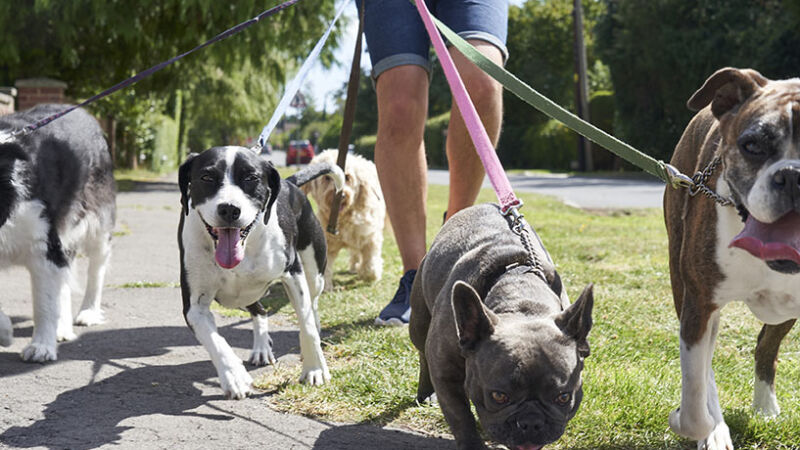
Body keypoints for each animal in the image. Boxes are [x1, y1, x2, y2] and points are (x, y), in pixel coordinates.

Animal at [0, 103, 117, 360]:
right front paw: (4, 331)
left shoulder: (43, 244)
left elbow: (44, 303)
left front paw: (41, 346)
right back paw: (62, 327)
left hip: (97, 217)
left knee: (97, 266)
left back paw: (88, 312)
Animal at [180, 146, 342, 400]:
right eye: (206, 177)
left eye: (251, 178)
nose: (229, 209)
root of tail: (288, 182)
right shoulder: (195, 306)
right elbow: (215, 341)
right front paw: (234, 375)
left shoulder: (293, 275)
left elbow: (305, 324)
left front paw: (314, 369)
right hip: (241, 295)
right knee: (260, 311)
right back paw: (261, 348)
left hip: (314, 273)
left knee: (312, 305)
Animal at [302, 149, 386, 288]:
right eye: (327, 178)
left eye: (346, 177)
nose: (340, 195)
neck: (342, 218)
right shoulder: (327, 243)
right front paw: (325, 286)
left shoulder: (369, 237)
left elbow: (370, 261)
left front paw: (369, 275)